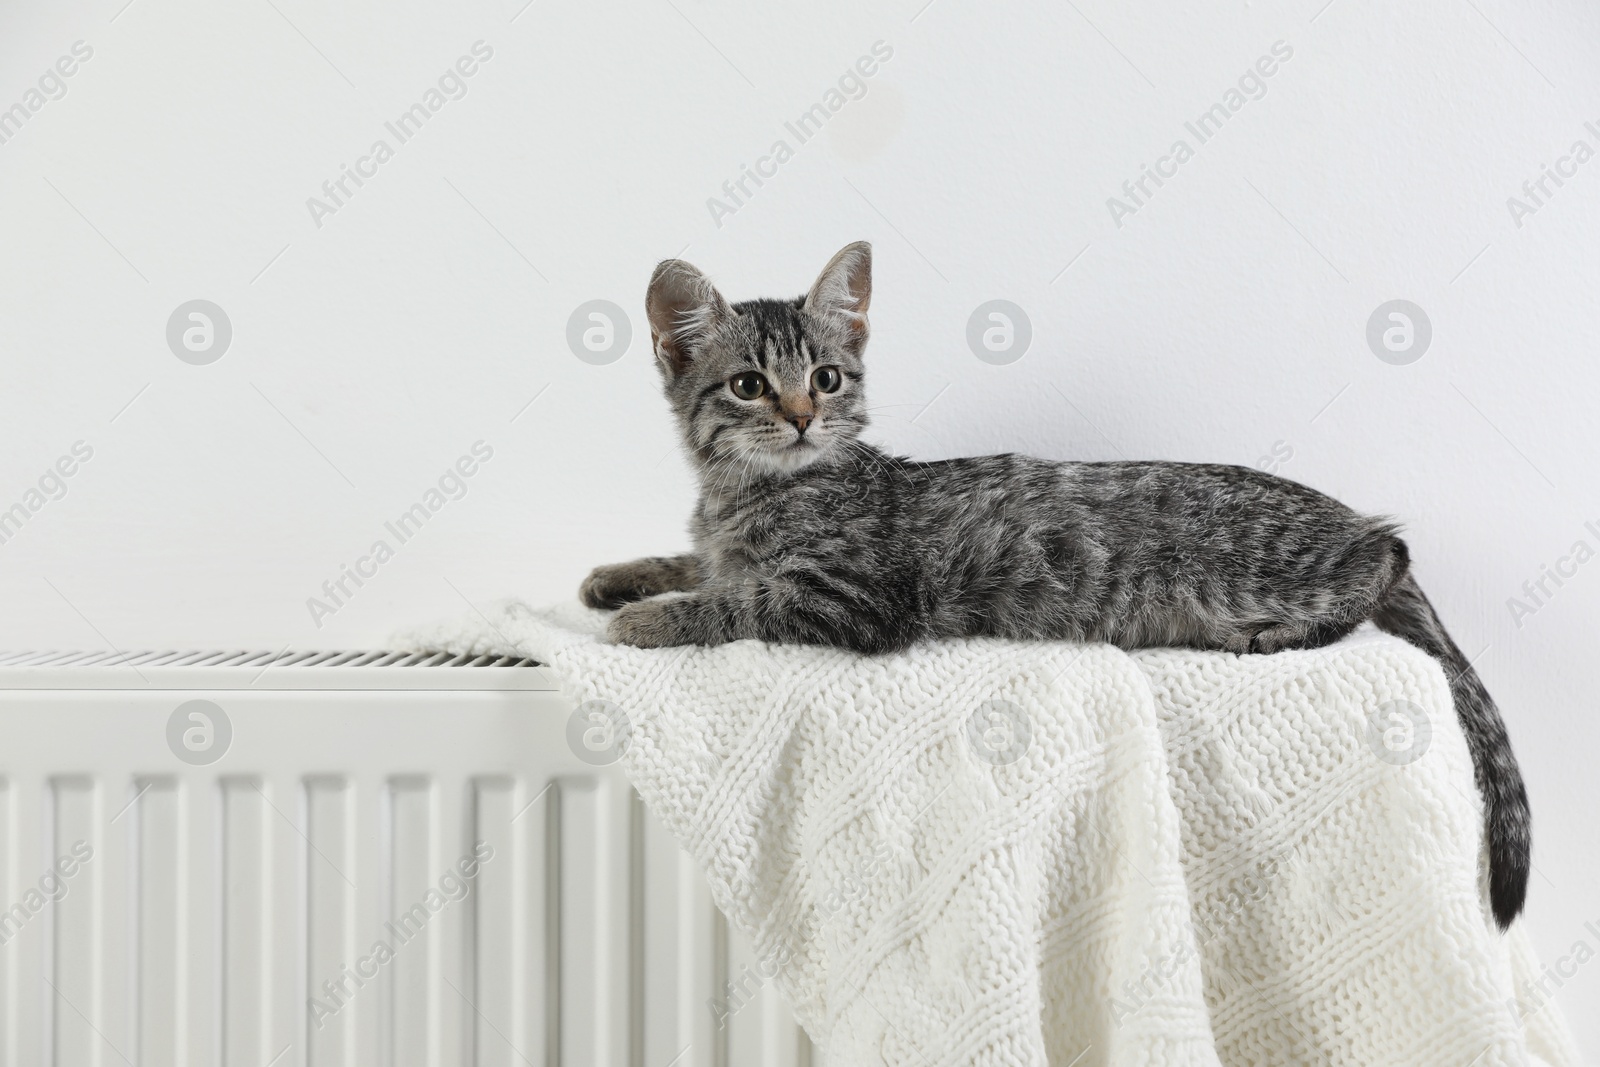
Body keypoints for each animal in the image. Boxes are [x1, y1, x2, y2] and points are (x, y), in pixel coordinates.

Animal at [582, 239, 1529, 927]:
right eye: (749, 384)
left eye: (826, 377)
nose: (803, 417)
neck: (751, 493)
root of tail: (1348, 516)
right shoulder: (728, 543)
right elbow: (699, 562)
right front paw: (616, 576)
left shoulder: (853, 598)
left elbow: (738, 599)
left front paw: (649, 618)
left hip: (1294, 567)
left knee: (1387, 561)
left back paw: (1282, 627)